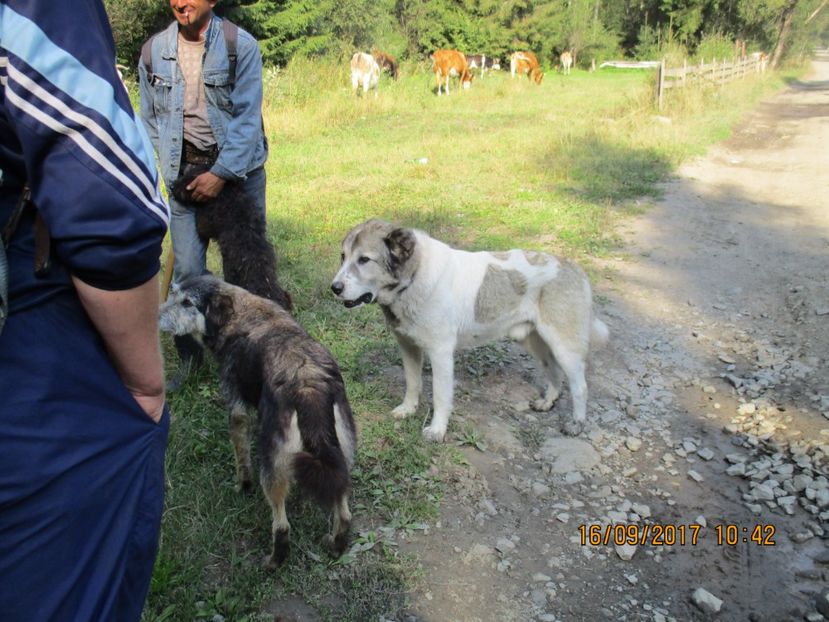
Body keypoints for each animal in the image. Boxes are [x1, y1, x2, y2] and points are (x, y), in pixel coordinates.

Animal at [330, 221, 608, 444]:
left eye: (364, 260)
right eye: (342, 257)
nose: (334, 288)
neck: (415, 277)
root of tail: (574, 268)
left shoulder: (440, 354)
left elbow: (440, 395)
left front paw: (437, 430)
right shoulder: (408, 347)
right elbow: (412, 382)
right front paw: (408, 409)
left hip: (564, 346)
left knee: (580, 386)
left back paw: (576, 423)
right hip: (535, 343)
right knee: (555, 372)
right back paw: (547, 402)